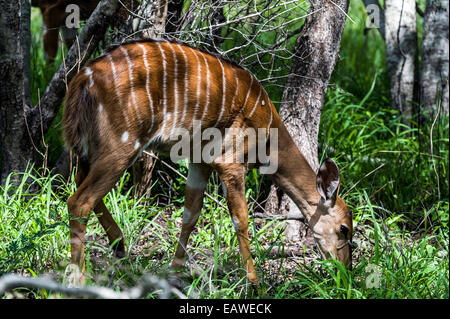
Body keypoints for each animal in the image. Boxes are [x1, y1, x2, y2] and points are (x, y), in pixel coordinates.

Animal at [63, 38, 354, 286]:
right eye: (344, 229)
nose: (345, 271)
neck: (268, 134)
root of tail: (83, 79)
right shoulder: (230, 163)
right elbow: (241, 219)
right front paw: (254, 283)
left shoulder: (199, 160)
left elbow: (190, 214)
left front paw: (174, 271)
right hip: (122, 144)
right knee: (79, 201)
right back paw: (80, 278)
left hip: (88, 149)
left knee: (79, 185)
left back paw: (120, 247)